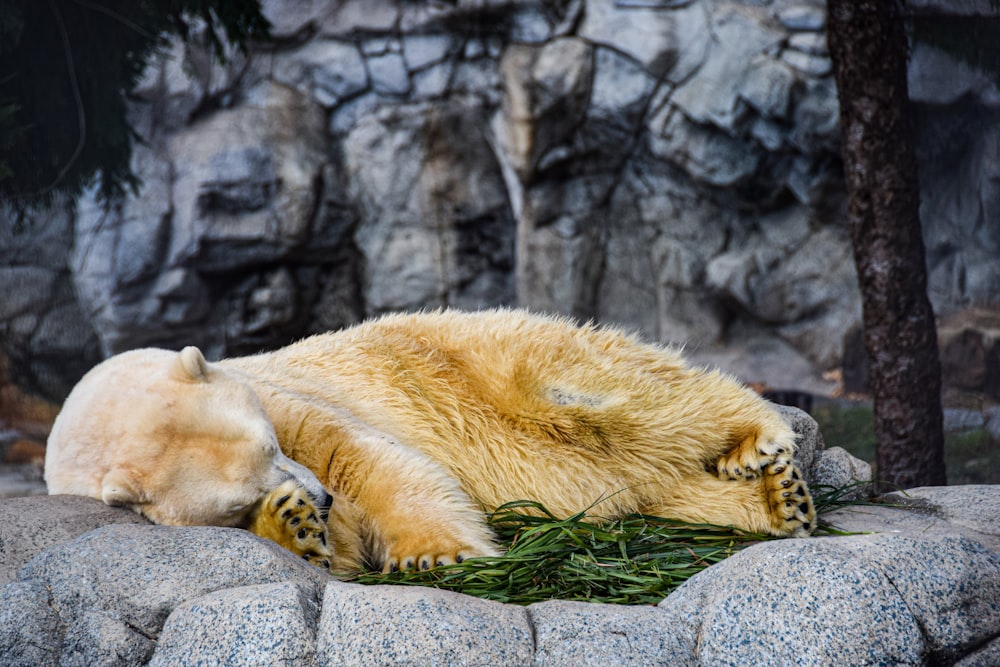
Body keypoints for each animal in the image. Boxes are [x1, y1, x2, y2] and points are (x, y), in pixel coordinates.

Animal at [43, 310, 816, 576]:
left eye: (269, 442)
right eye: (236, 497)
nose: (317, 495)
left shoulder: (292, 396)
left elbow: (365, 457)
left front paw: (436, 552)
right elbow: (337, 546)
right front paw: (295, 523)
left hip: (481, 357)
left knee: (619, 405)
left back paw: (761, 446)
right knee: (639, 482)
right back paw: (777, 503)